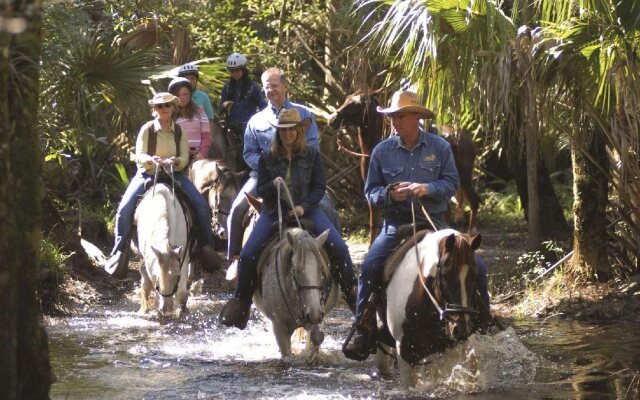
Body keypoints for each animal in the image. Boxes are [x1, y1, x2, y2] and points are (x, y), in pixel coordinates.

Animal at [134, 183, 190, 318]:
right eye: (156, 276)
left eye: (177, 276)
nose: (167, 309)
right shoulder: (147, 261)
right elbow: (148, 284)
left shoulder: (183, 256)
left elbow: (182, 292)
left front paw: (181, 311)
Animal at [330, 93, 480, 244]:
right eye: (346, 100)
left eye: (357, 105)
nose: (332, 119)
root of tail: (466, 137)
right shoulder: (373, 190)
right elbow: (374, 222)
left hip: (465, 176)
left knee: (473, 199)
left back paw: (471, 232)